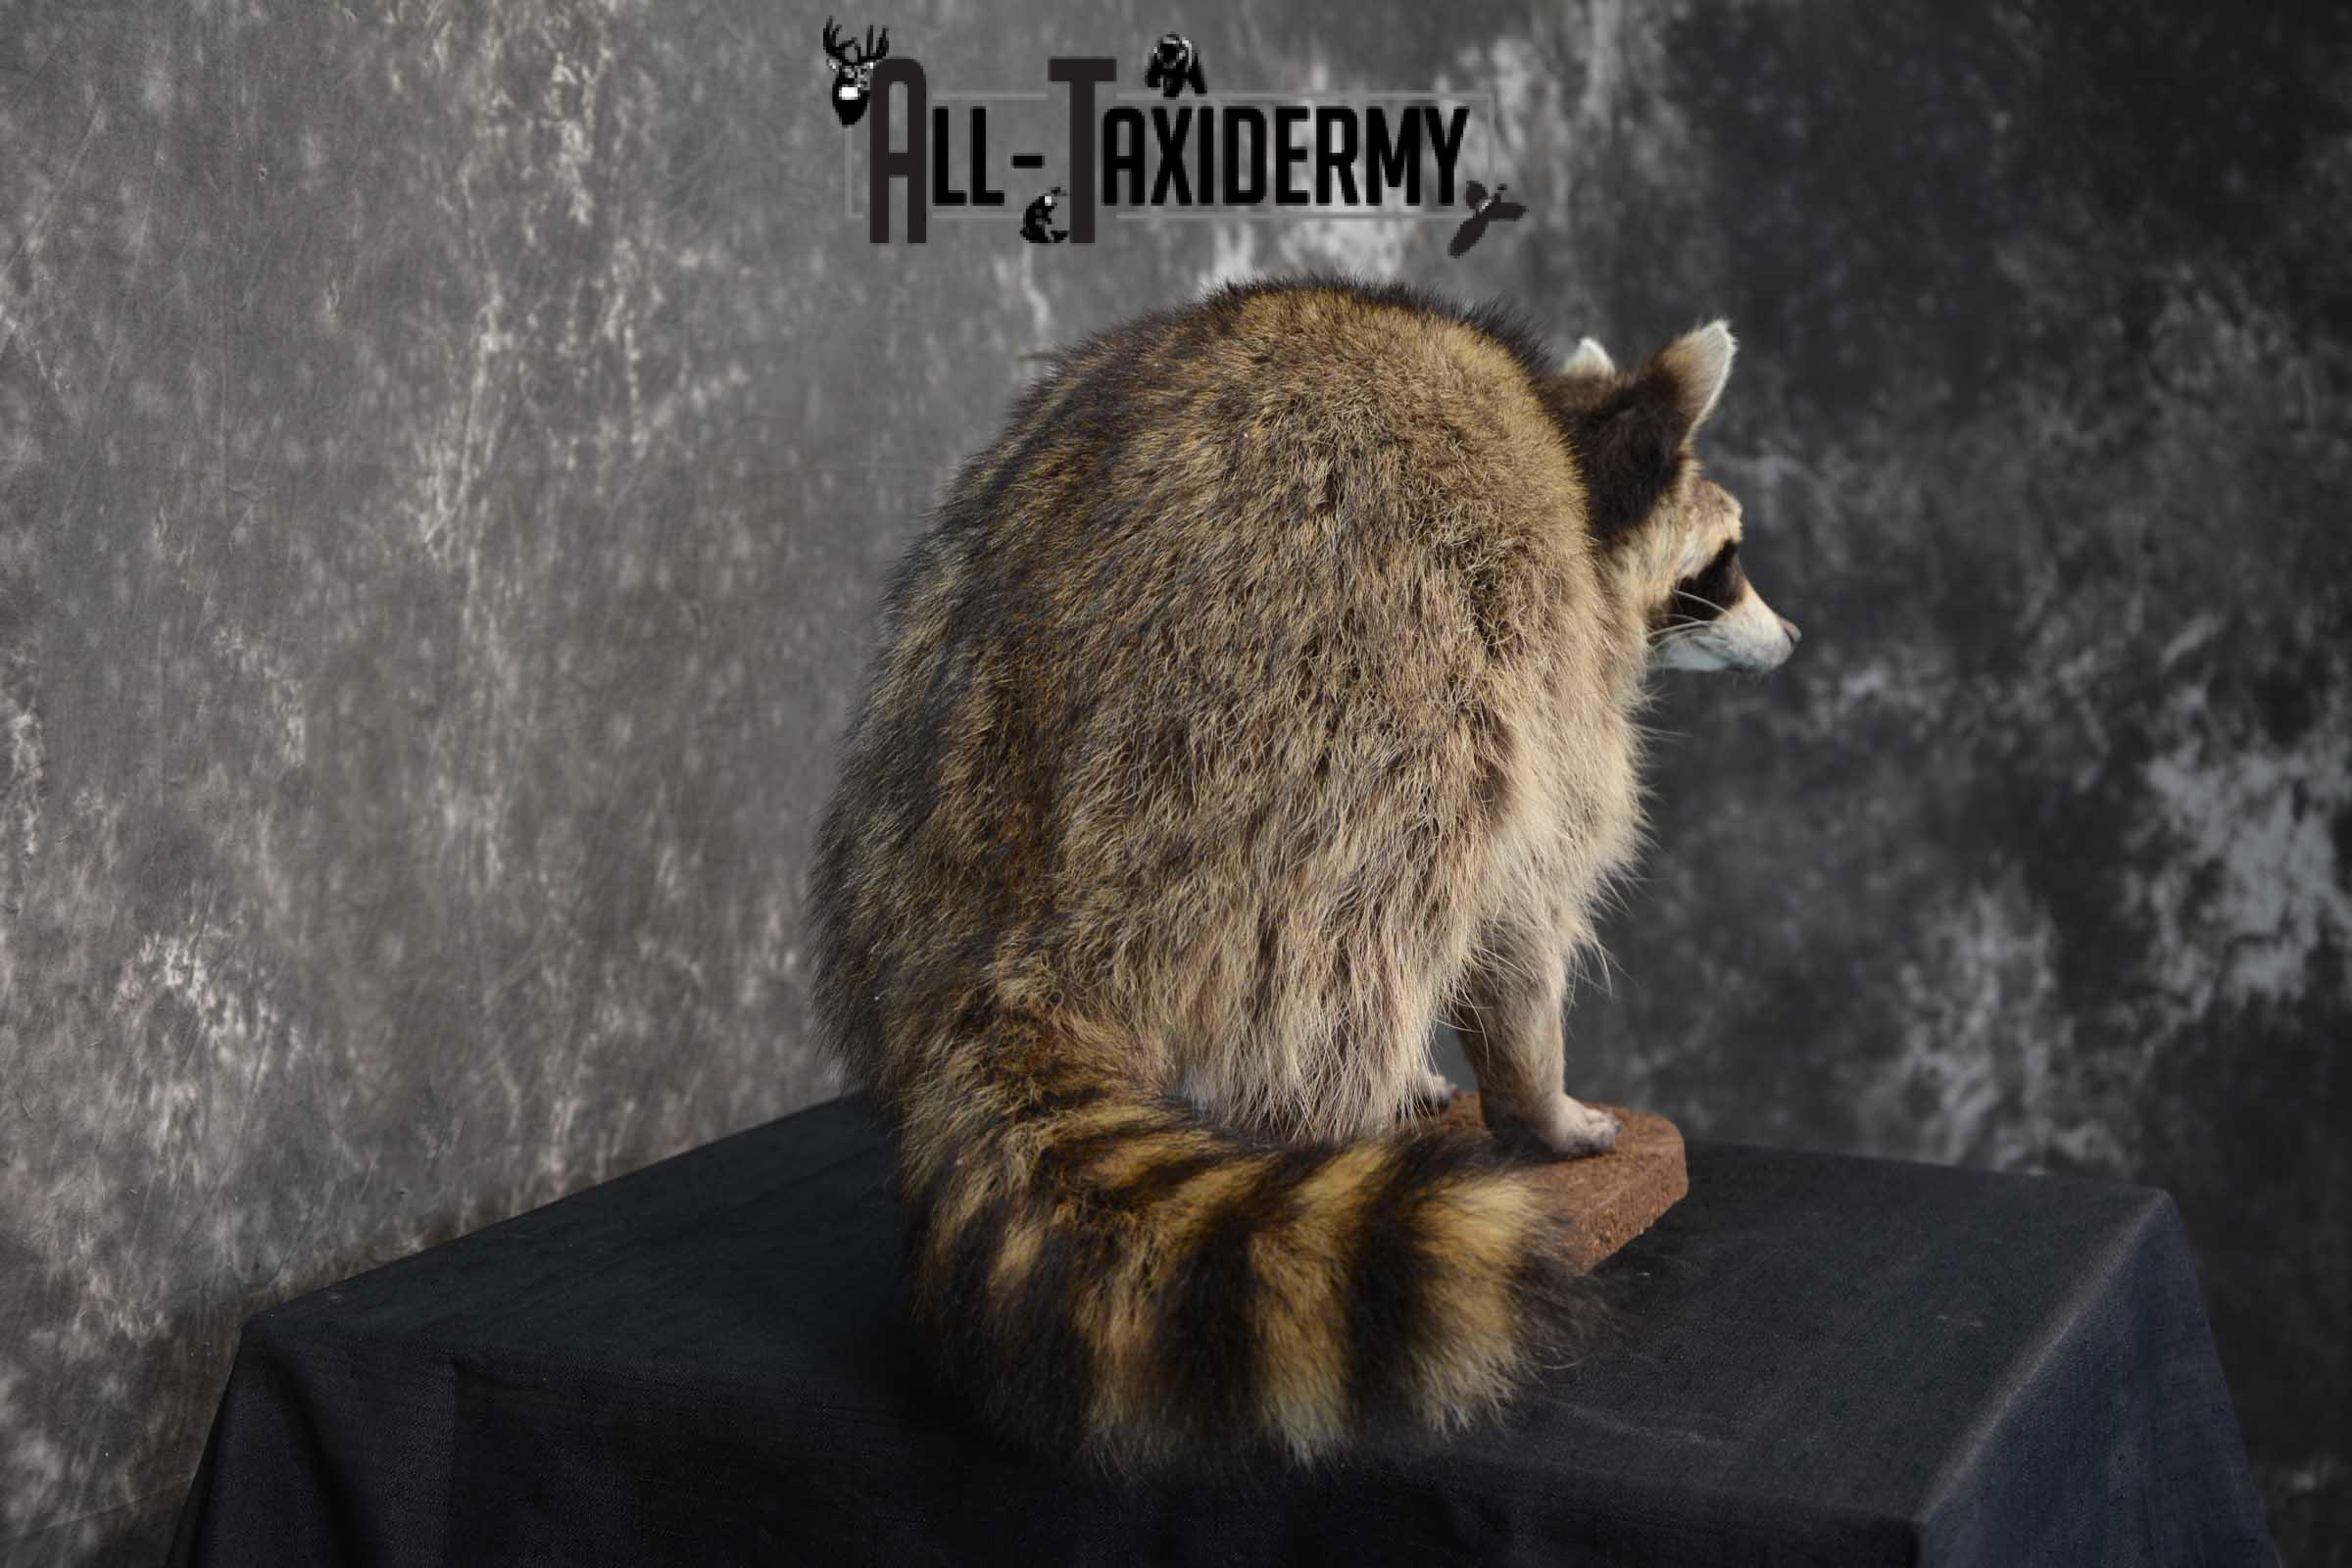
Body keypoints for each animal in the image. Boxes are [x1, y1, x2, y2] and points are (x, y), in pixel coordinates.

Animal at [810, 276, 1798, 1472]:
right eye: (1728, 560)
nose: (1793, 638)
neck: (1563, 434)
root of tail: (1004, 942)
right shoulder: (1537, 647)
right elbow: (1521, 913)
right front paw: (1540, 1100)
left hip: (918, 748)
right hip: (1328, 705)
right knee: (1369, 915)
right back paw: (1339, 1123)